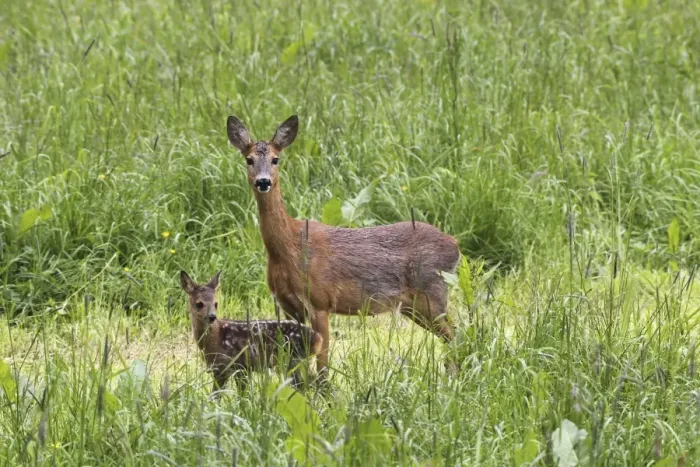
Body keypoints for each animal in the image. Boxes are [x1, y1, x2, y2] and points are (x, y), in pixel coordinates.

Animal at [179, 270, 323, 395]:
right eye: (199, 304)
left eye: (216, 303)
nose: (212, 317)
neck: (216, 338)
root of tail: (318, 337)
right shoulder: (226, 369)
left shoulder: (234, 365)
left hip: (292, 359)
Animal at [226, 114, 461, 381]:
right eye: (249, 159)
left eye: (276, 159)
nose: (263, 181)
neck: (289, 249)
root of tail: (454, 244)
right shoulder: (288, 308)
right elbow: (296, 367)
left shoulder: (320, 301)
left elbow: (322, 364)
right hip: (414, 306)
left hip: (432, 292)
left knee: (457, 335)